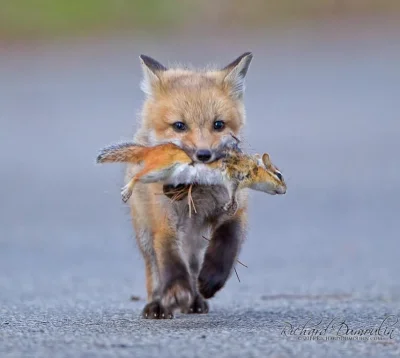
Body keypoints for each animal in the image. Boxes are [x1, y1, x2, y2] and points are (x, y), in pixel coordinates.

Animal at [95, 138, 286, 214]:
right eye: (279, 175)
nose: (285, 191)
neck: (252, 167)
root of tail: (150, 150)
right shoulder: (232, 177)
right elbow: (232, 193)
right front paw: (231, 204)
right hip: (157, 169)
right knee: (136, 176)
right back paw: (126, 191)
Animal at [113, 51, 260, 318]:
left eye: (218, 124)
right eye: (179, 126)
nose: (203, 154)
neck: (198, 189)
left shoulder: (236, 210)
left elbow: (227, 241)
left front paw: (211, 279)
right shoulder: (163, 219)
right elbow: (169, 256)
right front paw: (176, 291)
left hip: (194, 238)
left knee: (192, 262)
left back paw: (195, 299)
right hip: (145, 233)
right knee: (154, 269)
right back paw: (157, 303)